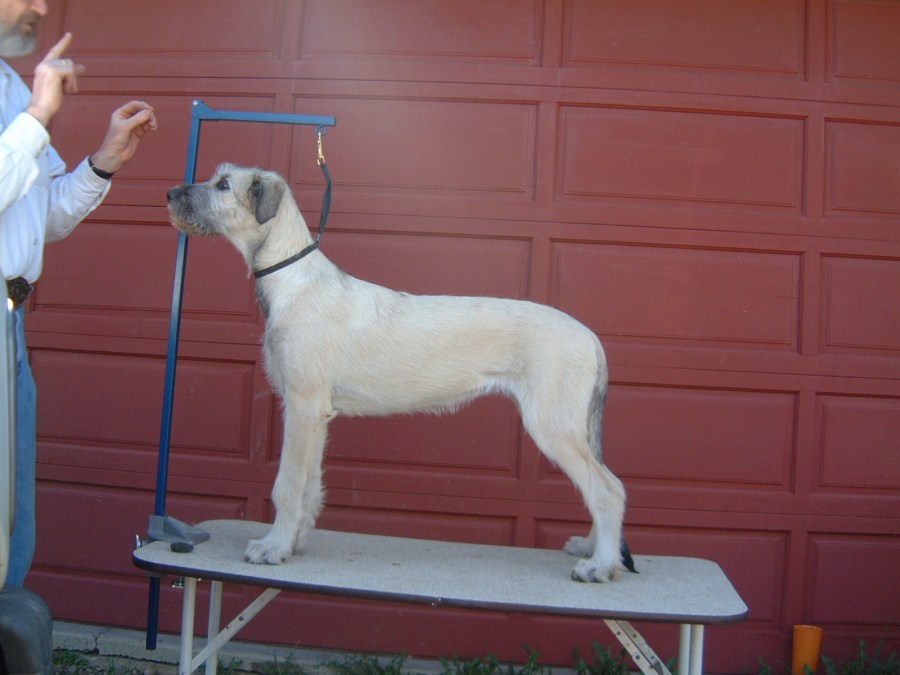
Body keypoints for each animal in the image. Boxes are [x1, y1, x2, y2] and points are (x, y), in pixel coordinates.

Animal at [166, 164, 634, 582]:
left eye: (223, 185)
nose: (171, 193)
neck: (294, 279)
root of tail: (591, 337)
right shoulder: (316, 414)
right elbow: (309, 487)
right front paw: (294, 542)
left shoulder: (301, 406)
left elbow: (287, 484)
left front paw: (273, 547)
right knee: (601, 483)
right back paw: (595, 548)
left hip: (553, 424)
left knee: (607, 489)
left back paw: (600, 565)